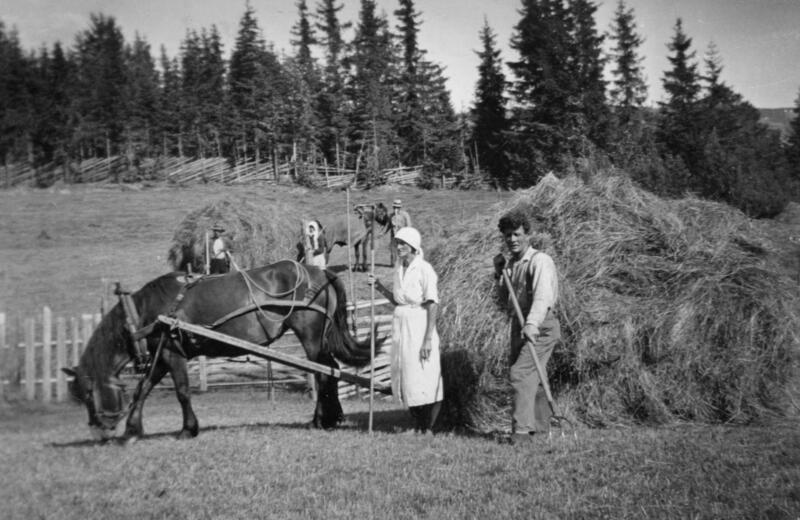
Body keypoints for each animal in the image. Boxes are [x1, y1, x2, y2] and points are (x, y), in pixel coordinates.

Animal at [62, 260, 382, 438]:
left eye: (88, 394)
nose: (97, 431)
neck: (142, 313)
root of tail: (322, 271)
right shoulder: (161, 357)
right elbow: (143, 389)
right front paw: (132, 429)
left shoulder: (172, 353)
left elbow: (181, 391)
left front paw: (187, 429)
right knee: (333, 370)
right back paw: (333, 417)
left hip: (311, 335)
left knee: (323, 373)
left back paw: (319, 420)